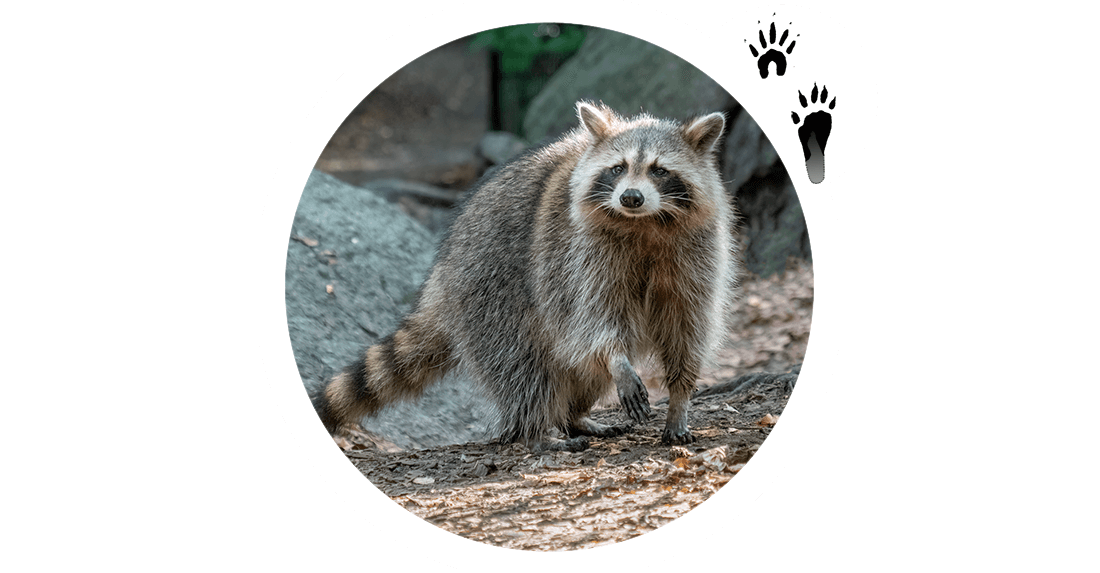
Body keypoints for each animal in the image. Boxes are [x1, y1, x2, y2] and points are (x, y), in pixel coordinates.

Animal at [313, 101, 739, 452]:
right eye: (617, 168)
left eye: (659, 170)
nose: (630, 197)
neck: (645, 223)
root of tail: (442, 275)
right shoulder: (578, 253)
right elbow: (596, 318)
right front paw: (618, 361)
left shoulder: (697, 253)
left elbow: (688, 325)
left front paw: (680, 399)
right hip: (491, 288)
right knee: (524, 363)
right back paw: (537, 430)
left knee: (578, 367)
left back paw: (575, 415)